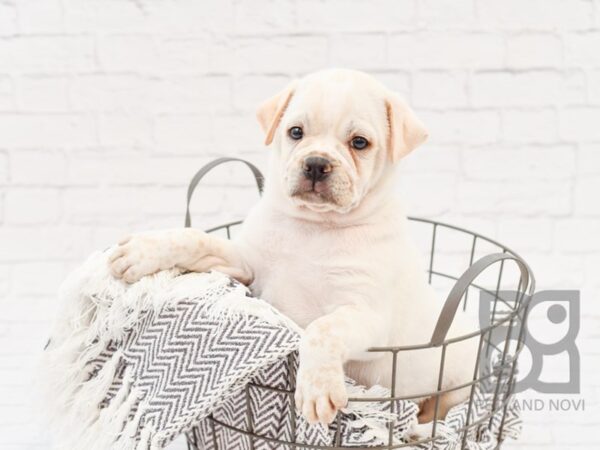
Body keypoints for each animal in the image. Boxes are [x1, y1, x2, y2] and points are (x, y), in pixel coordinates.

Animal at [110, 68, 478, 428]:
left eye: (360, 142)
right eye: (296, 132)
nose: (316, 163)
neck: (315, 227)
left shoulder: (366, 313)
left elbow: (322, 329)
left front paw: (317, 389)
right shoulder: (246, 263)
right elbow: (195, 237)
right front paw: (142, 249)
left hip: (458, 379)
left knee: (441, 409)